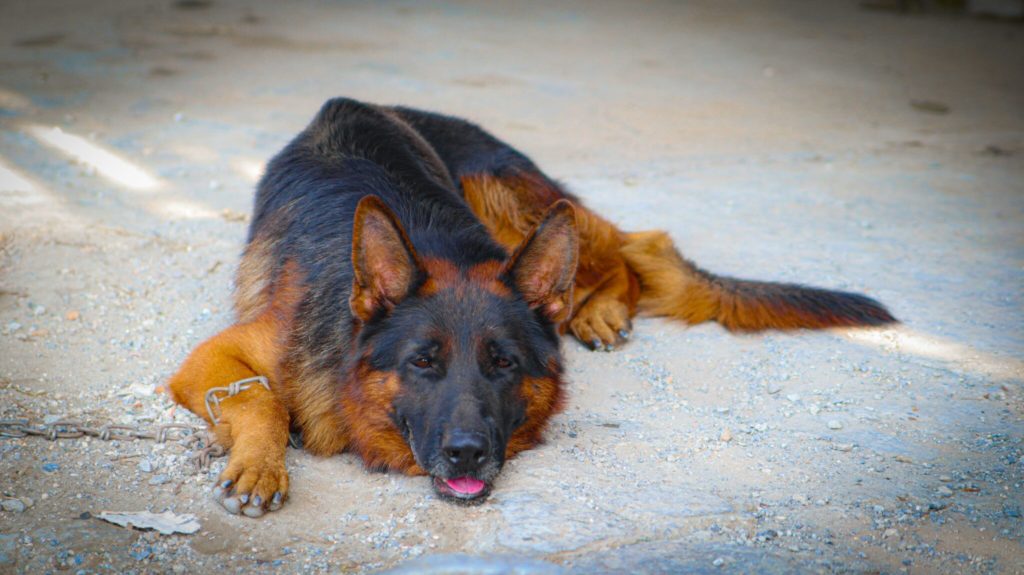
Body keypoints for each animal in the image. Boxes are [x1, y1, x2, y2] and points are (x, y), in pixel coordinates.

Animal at [163, 97, 892, 515]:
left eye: (503, 363)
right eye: (423, 362)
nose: (465, 454)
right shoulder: (215, 356)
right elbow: (259, 395)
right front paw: (259, 464)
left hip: (506, 195)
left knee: (640, 248)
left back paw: (599, 308)